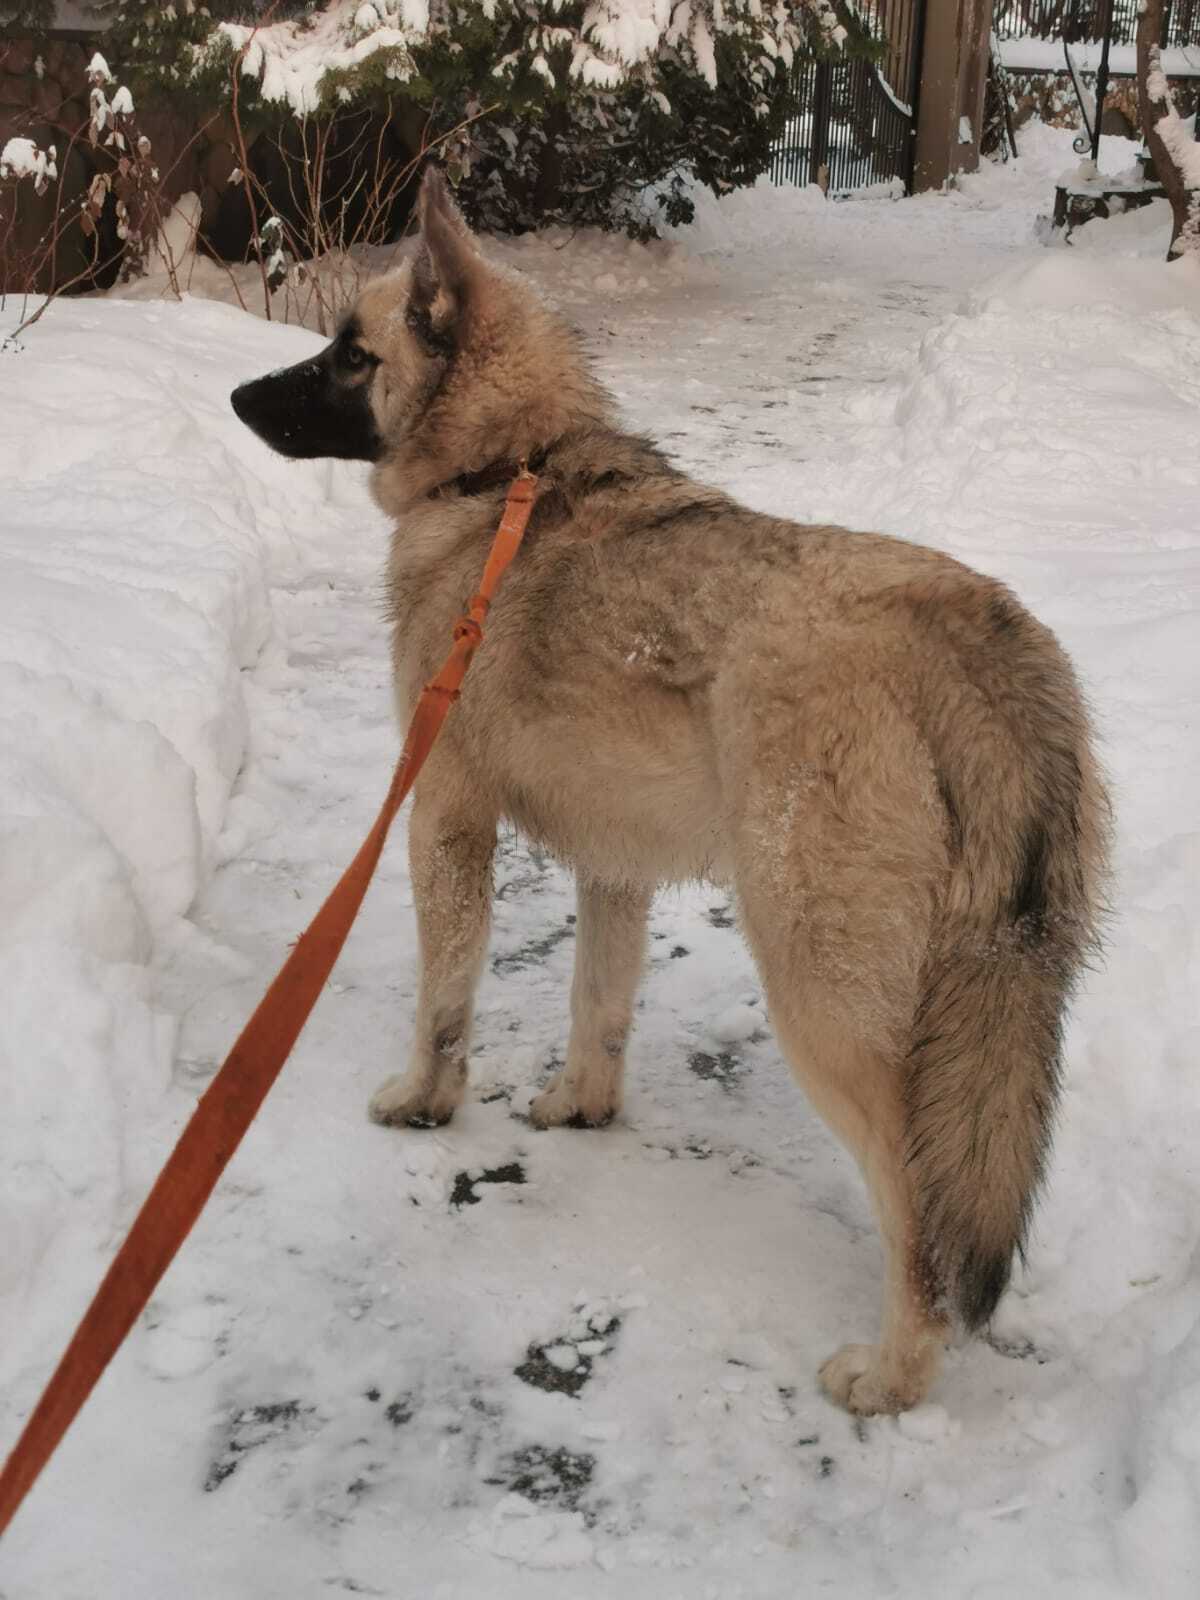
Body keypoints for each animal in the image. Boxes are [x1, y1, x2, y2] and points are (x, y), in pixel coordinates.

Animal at [230, 165, 1113, 1414]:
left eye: (350, 355)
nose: (237, 395)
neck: (508, 471)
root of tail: (976, 638)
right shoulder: (615, 865)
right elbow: (595, 1005)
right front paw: (579, 1109)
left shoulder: (443, 819)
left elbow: (444, 999)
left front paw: (425, 1101)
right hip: (981, 1001)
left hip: (819, 992)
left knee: (914, 1200)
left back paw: (893, 1371)